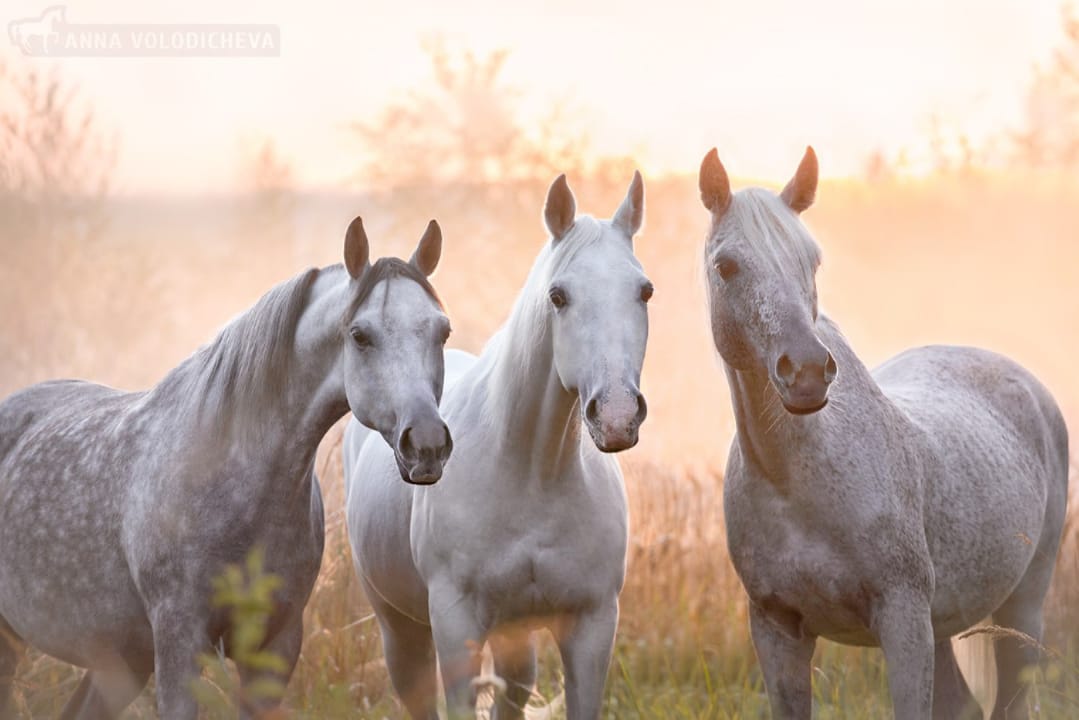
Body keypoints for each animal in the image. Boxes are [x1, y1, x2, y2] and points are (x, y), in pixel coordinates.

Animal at [0, 220, 453, 720]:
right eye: (359, 334)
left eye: (443, 331)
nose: (427, 444)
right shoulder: (179, 645)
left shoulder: (275, 647)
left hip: (119, 662)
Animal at [345, 172, 647, 720]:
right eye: (558, 295)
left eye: (645, 291)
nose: (616, 415)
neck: (530, 473)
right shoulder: (455, 626)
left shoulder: (592, 626)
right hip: (400, 626)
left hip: (513, 634)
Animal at [699, 147, 1070, 720]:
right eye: (726, 266)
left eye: (813, 260)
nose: (807, 371)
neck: (795, 484)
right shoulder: (776, 629)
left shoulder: (903, 622)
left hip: (1021, 607)